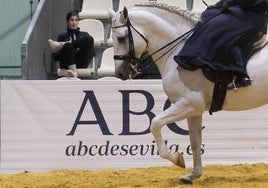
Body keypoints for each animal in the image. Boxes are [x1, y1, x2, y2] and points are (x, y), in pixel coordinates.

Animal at [108, 1, 268, 184]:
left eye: (121, 38)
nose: (120, 73)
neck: (177, 48)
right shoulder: (194, 110)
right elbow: (195, 141)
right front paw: (193, 175)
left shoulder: (189, 103)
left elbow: (155, 123)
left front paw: (176, 158)